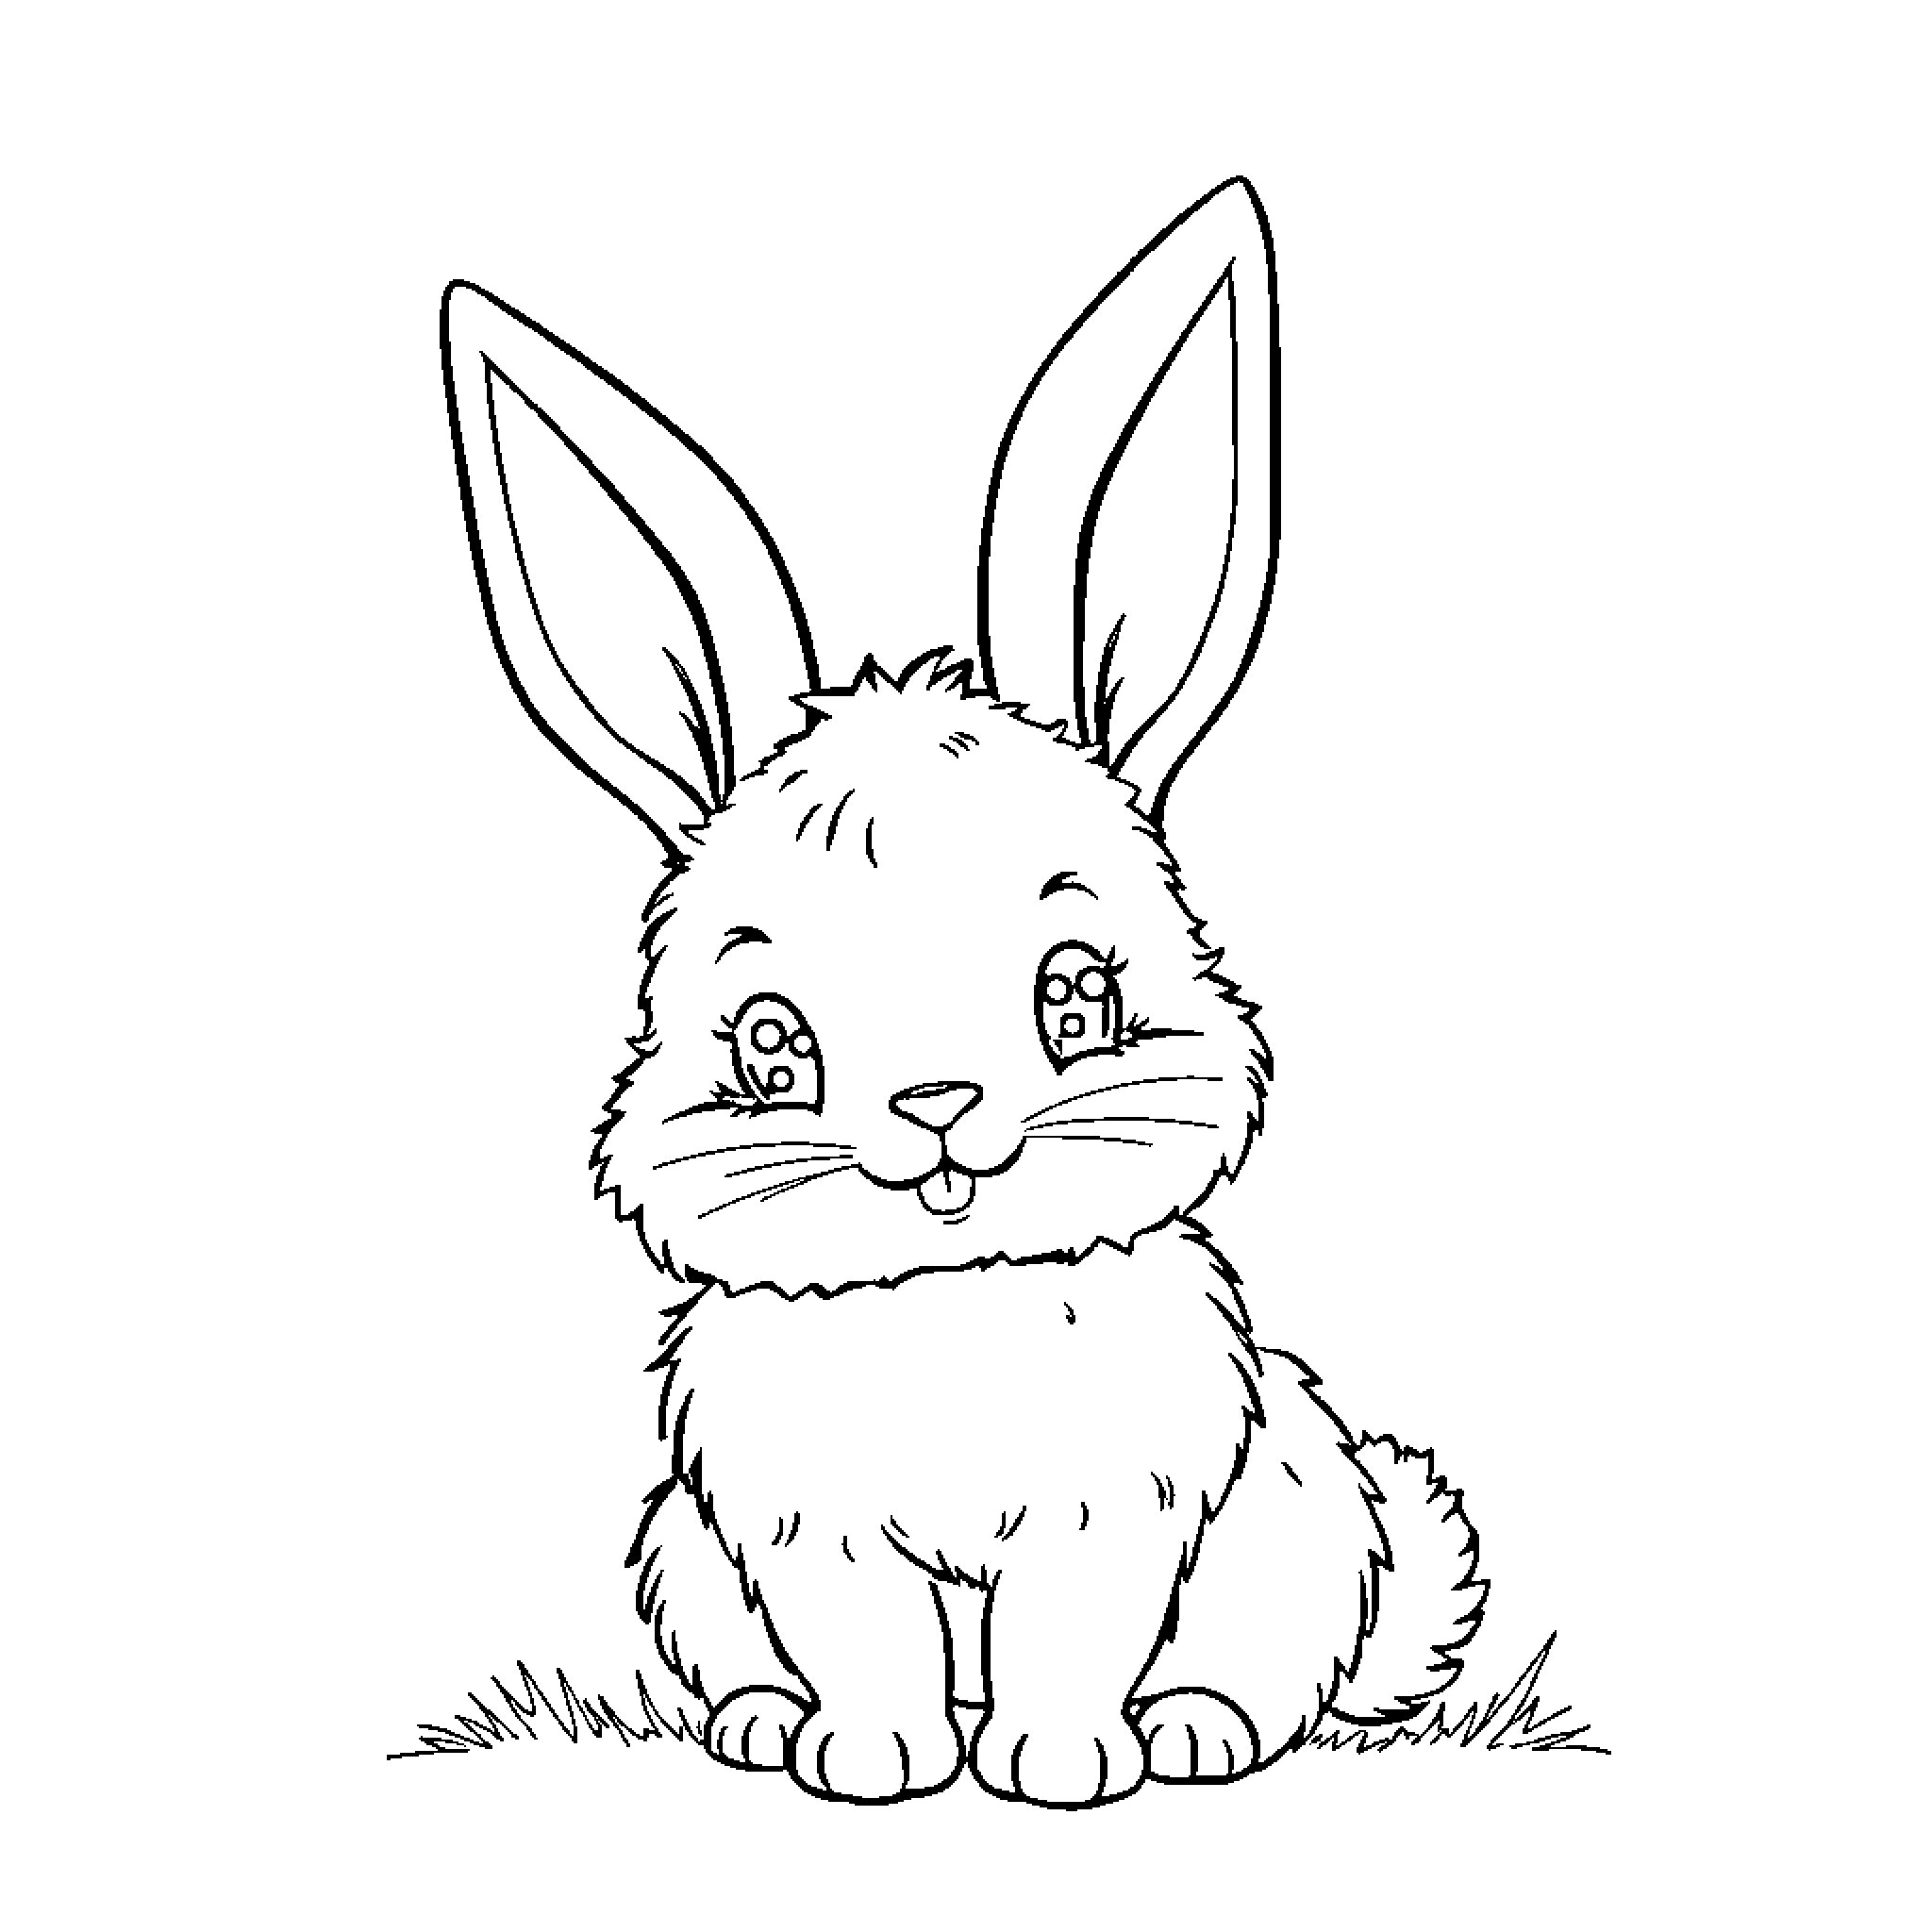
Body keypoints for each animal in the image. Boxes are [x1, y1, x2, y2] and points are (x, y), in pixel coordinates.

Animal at [439, 177, 1486, 1807]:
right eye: (769, 1048)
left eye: (1080, 998)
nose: (937, 1109)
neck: (945, 1307)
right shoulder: (807, 1540)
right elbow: (868, 1650)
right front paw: (872, 1763)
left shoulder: (1114, 1522)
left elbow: (1071, 1644)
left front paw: (1060, 1768)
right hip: (684, 1554)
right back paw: (763, 1724)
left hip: (1307, 1530)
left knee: (1265, 1667)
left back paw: (1191, 1733)